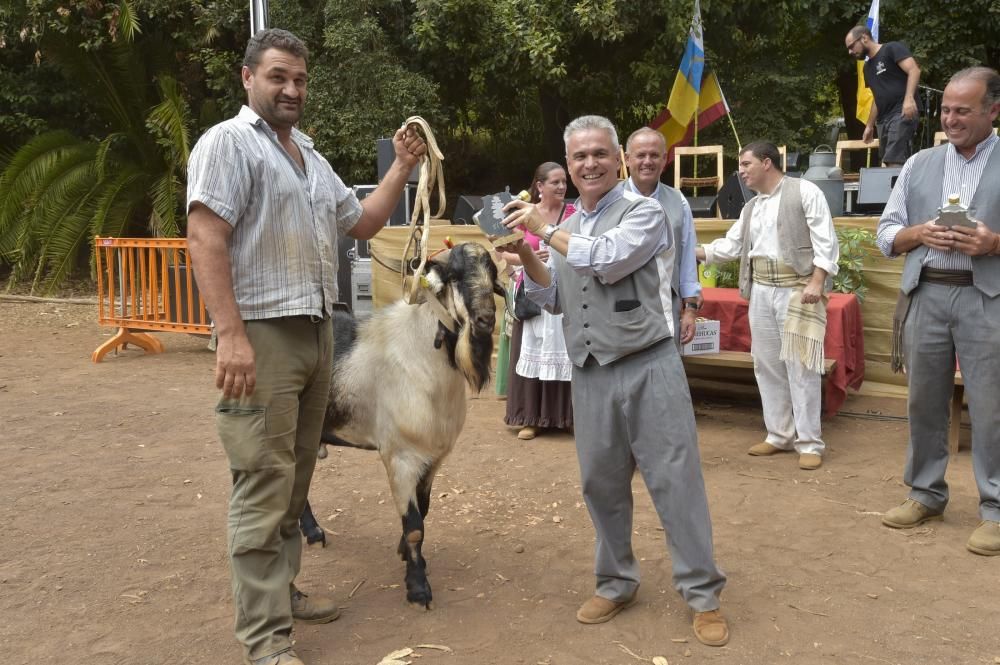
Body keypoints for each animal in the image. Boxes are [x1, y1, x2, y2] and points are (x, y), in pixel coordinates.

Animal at [298, 243, 504, 608]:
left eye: (492, 274)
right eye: (454, 275)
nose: (485, 321)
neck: (421, 356)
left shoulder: (432, 460)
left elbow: (424, 511)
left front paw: (406, 555)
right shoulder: (400, 459)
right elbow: (415, 526)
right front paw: (417, 587)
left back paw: (313, 532)